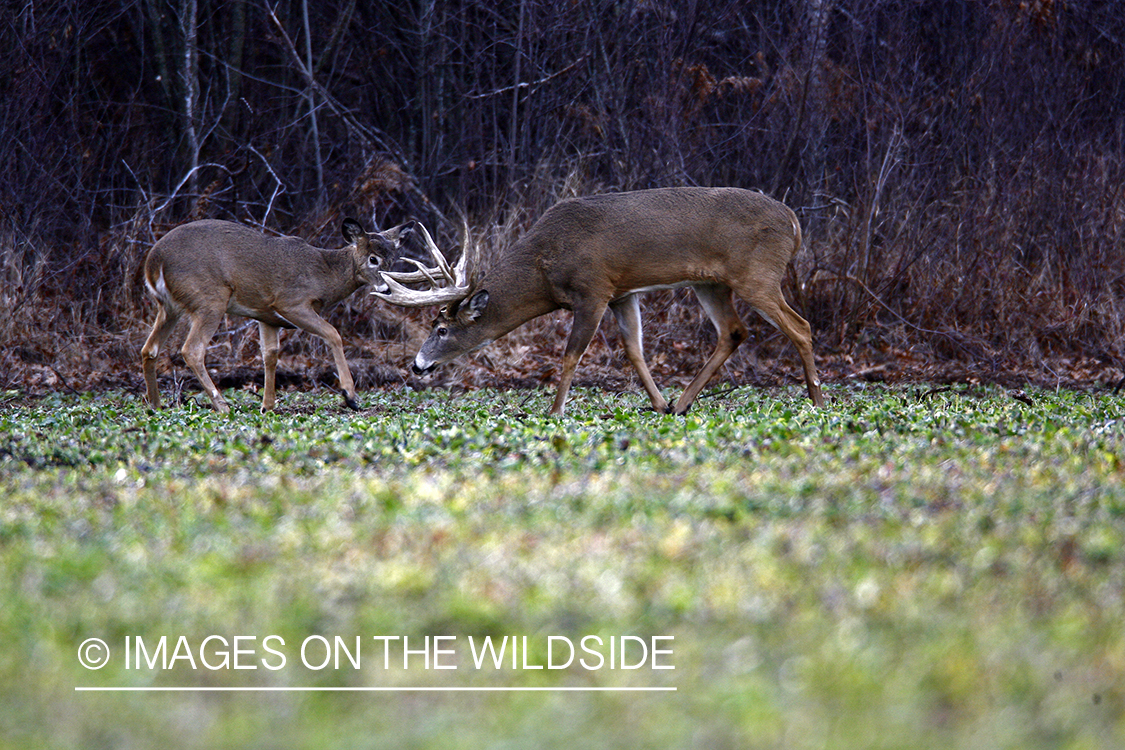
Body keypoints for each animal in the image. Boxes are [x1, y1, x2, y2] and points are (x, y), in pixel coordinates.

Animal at [140, 217, 411, 416]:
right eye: (373, 259)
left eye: (394, 259)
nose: (387, 289)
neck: (324, 275)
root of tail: (154, 262)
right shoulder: (291, 302)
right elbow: (333, 334)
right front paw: (350, 395)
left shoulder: (266, 316)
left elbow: (270, 355)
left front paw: (267, 405)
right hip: (210, 298)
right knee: (192, 350)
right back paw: (223, 405)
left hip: (169, 307)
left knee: (149, 349)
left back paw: (155, 405)